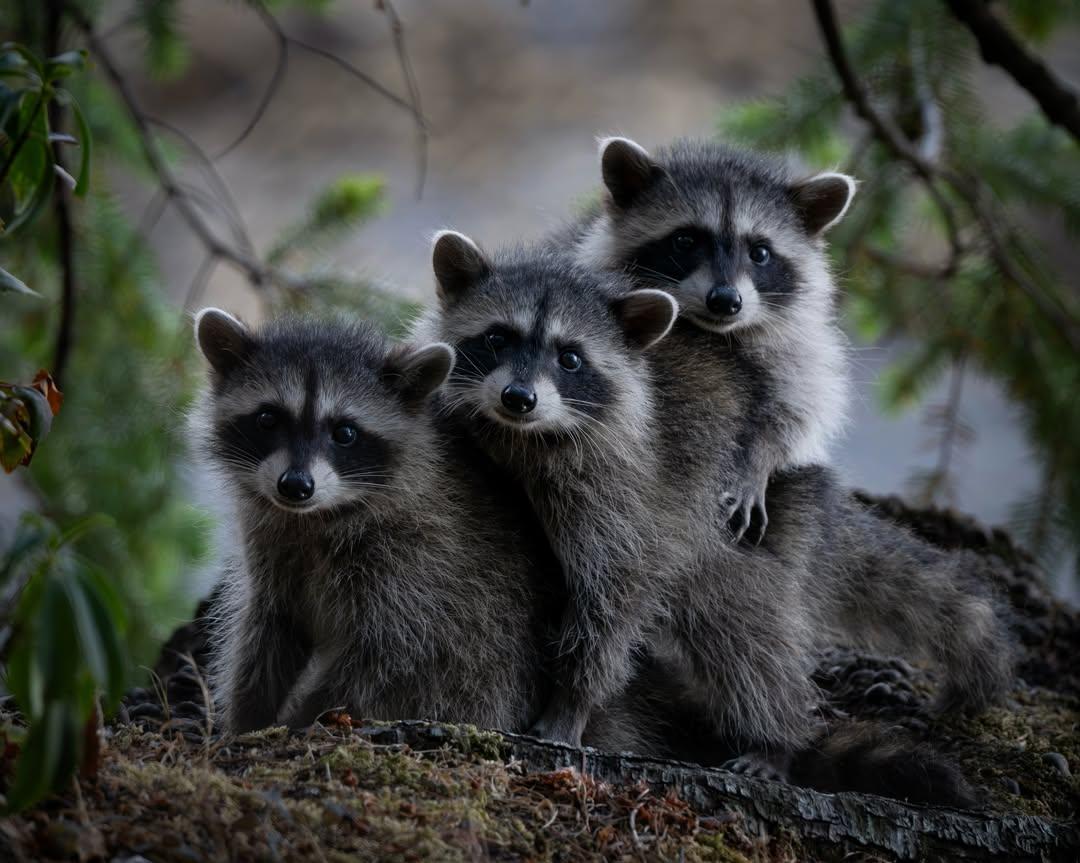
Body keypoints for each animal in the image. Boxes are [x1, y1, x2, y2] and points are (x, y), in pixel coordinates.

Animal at [190, 309, 564, 733]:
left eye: (345, 433)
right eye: (268, 419)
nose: (296, 486)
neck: (317, 517)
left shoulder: (419, 563)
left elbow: (384, 658)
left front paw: (302, 719)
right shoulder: (275, 551)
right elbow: (269, 632)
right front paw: (248, 720)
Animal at [572, 136, 855, 542]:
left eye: (760, 252)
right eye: (685, 240)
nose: (725, 300)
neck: (715, 331)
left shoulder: (798, 347)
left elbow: (795, 411)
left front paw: (757, 463)